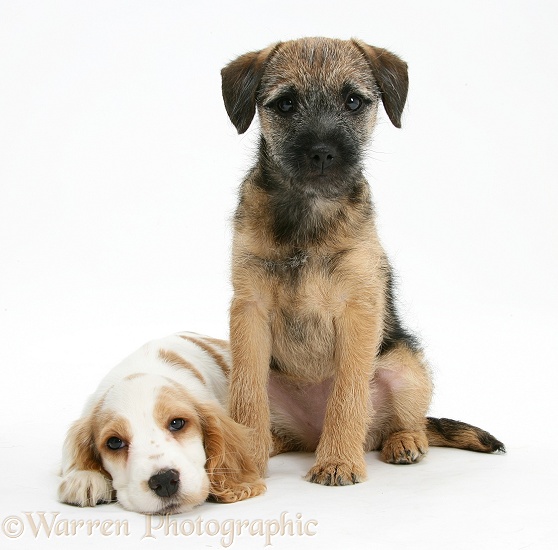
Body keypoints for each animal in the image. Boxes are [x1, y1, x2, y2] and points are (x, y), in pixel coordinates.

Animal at [222, 37, 508, 488]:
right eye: (285, 104)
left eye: (353, 101)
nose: (322, 153)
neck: (308, 212)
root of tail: (311, 434)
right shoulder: (249, 309)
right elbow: (247, 394)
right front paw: (244, 461)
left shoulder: (358, 310)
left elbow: (348, 395)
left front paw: (339, 461)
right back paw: (271, 443)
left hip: (406, 367)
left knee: (407, 422)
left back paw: (404, 442)